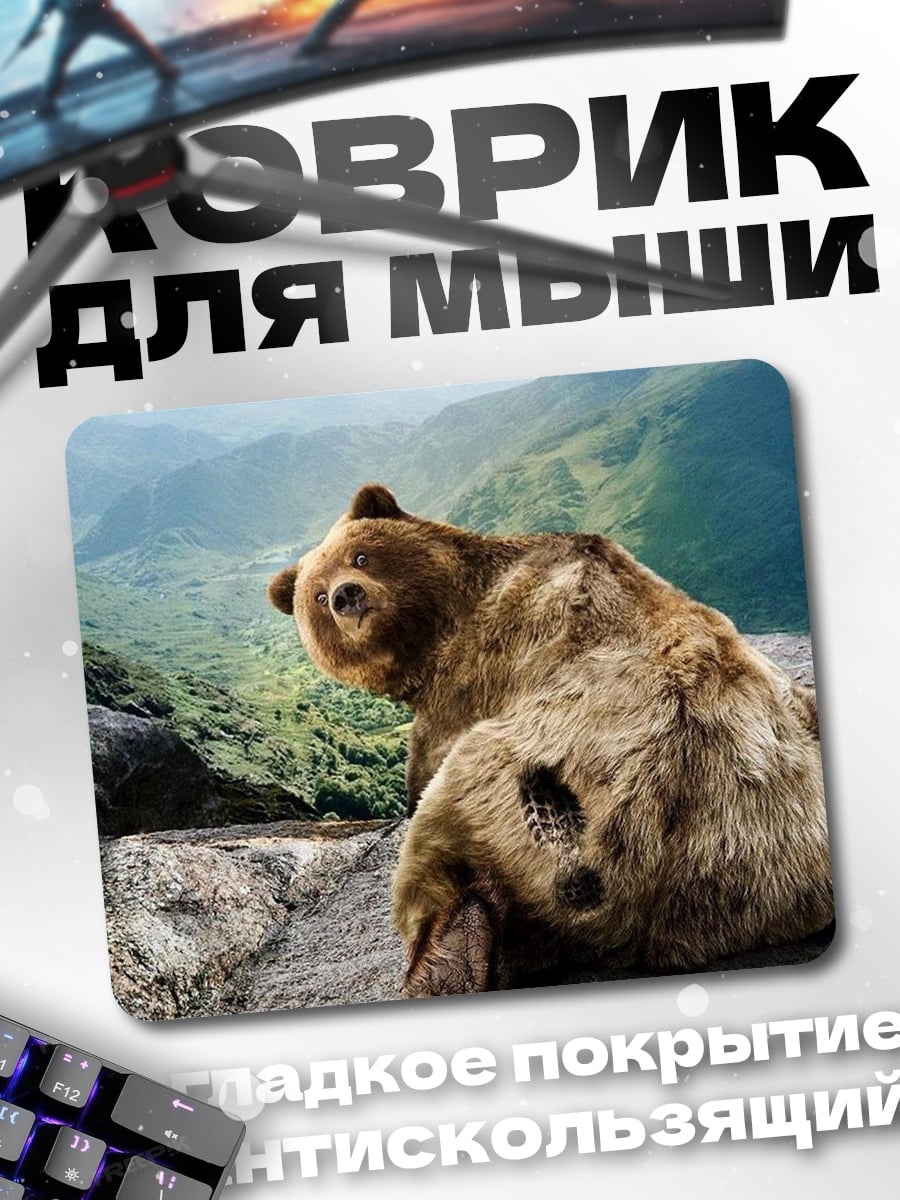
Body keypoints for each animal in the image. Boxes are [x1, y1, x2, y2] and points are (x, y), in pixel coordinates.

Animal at [268, 482, 833, 998]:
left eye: (360, 556)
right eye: (317, 596)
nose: (347, 596)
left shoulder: (480, 667)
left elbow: (428, 759)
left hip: (526, 775)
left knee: (444, 836)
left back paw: (447, 961)